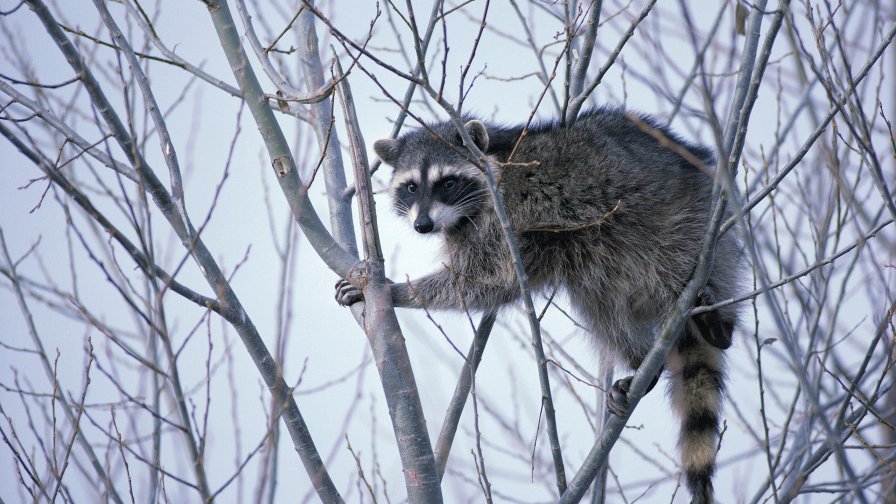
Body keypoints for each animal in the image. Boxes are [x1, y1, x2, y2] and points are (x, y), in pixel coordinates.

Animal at [336, 107, 744, 504]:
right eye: (411, 187)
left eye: (447, 183)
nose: (422, 225)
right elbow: (487, 285)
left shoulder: (507, 218)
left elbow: (483, 279)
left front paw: (397, 291)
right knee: (599, 302)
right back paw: (642, 360)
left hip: (685, 226)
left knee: (671, 263)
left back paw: (717, 324)